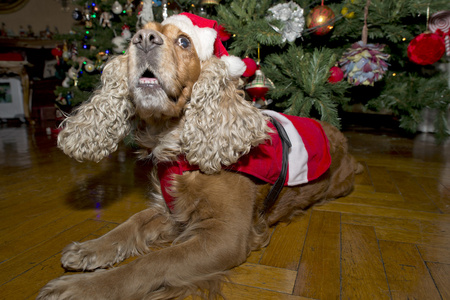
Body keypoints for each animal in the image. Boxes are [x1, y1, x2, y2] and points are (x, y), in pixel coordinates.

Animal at [38, 12, 362, 300]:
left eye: (184, 41)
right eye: (135, 36)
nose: (144, 39)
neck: (174, 141)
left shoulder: (225, 236)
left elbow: (152, 262)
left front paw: (83, 288)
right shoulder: (170, 209)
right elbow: (129, 224)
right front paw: (90, 249)